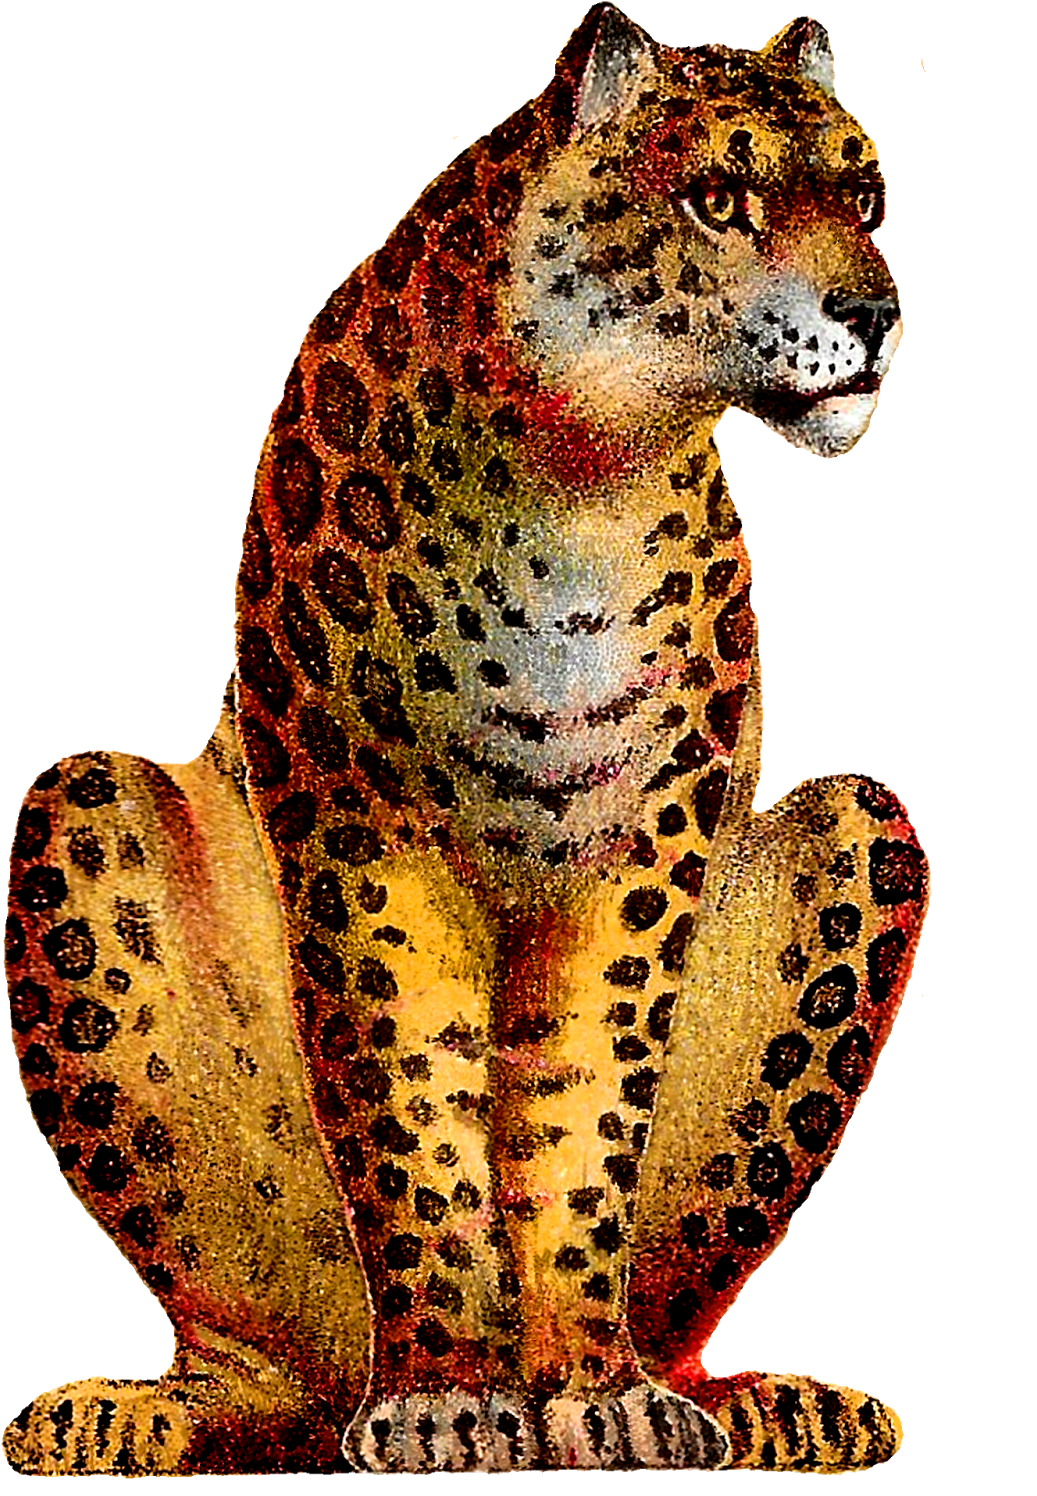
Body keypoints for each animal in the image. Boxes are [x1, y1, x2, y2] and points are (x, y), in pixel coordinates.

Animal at [4, 6, 928, 1475]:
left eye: (864, 200)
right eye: (717, 201)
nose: (874, 314)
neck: (591, 473)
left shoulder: (641, 841)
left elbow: (584, 1117)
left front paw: (596, 1393)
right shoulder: (362, 828)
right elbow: (410, 1115)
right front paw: (444, 1396)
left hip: (868, 817)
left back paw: (763, 1402)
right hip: (83, 802)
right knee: (249, 1358)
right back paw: (136, 1412)